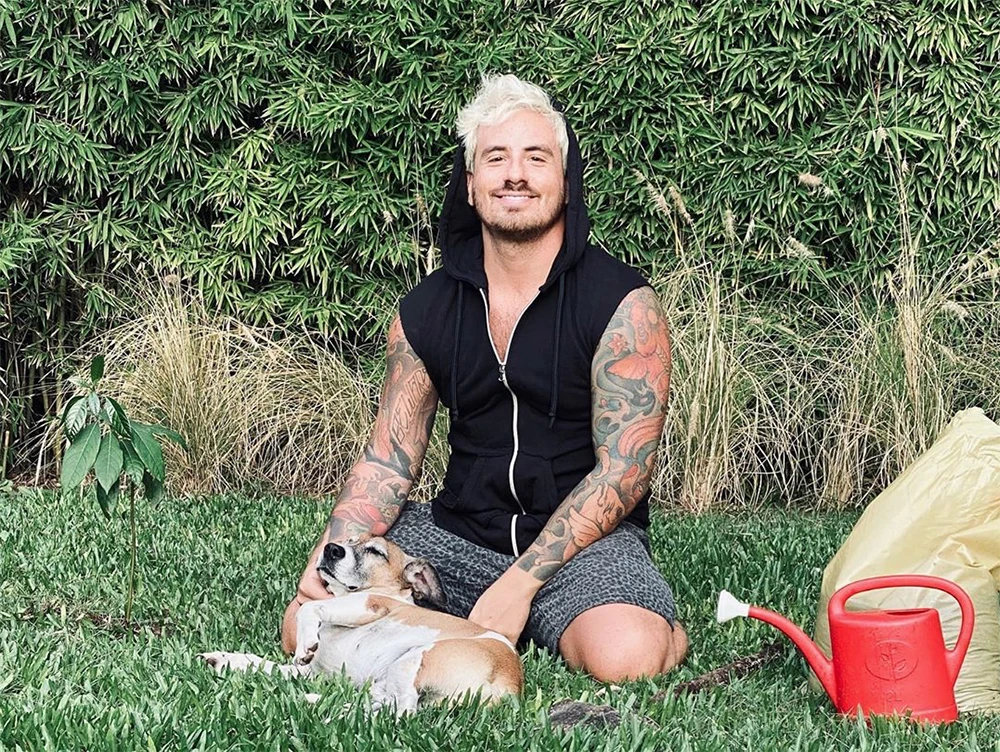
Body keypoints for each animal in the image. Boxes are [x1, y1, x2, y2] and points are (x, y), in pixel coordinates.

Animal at [199, 536, 523, 714]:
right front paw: (228, 660)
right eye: (348, 539)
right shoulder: (309, 672)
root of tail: (513, 685)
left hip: (415, 659)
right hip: (391, 677)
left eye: (376, 551)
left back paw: (336, 712)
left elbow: (311, 608)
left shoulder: (370, 605)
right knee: (385, 703)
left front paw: (305, 640)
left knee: (402, 712)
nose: (331, 549)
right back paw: (322, 702)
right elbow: (262, 663)